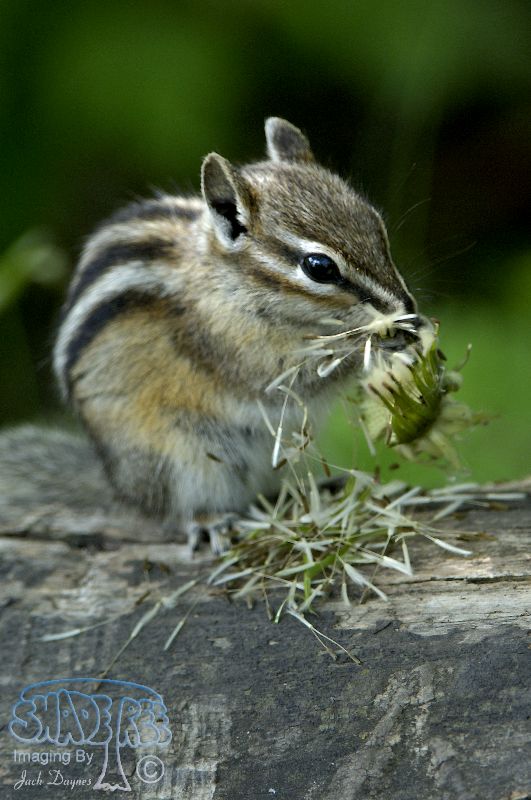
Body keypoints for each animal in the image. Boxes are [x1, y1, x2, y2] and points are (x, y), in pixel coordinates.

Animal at [0, 118, 417, 550]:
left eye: (377, 224)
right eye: (319, 267)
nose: (408, 311)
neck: (225, 283)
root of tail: (120, 485)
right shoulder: (225, 345)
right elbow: (286, 376)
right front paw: (375, 343)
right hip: (183, 459)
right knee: (176, 508)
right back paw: (210, 521)